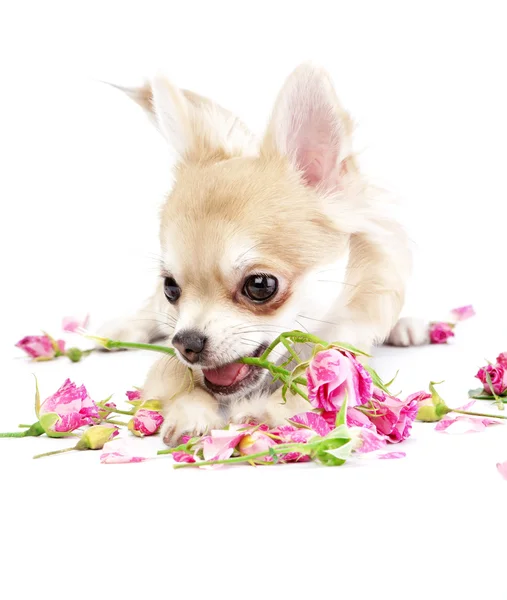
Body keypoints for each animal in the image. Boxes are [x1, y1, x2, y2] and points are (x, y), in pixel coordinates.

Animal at [103, 64, 428, 446]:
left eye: (260, 285)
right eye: (171, 288)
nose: (186, 342)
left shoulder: (345, 355)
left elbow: (306, 391)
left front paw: (263, 412)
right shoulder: (169, 359)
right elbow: (178, 378)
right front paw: (190, 413)